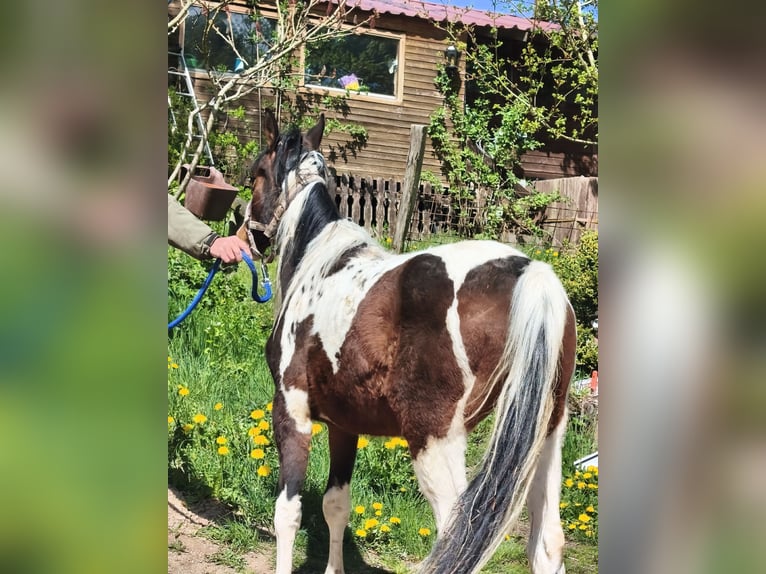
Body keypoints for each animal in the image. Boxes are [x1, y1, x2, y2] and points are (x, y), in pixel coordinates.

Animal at [238, 110, 577, 574]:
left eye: (256, 173)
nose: (244, 232)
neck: (319, 266)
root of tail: (531, 272)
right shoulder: (344, 425)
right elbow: (335, 505)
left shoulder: (291, 413)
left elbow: (287, 512)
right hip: (548, 434)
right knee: (546, 543)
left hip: (435, 442)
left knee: (458, 536)